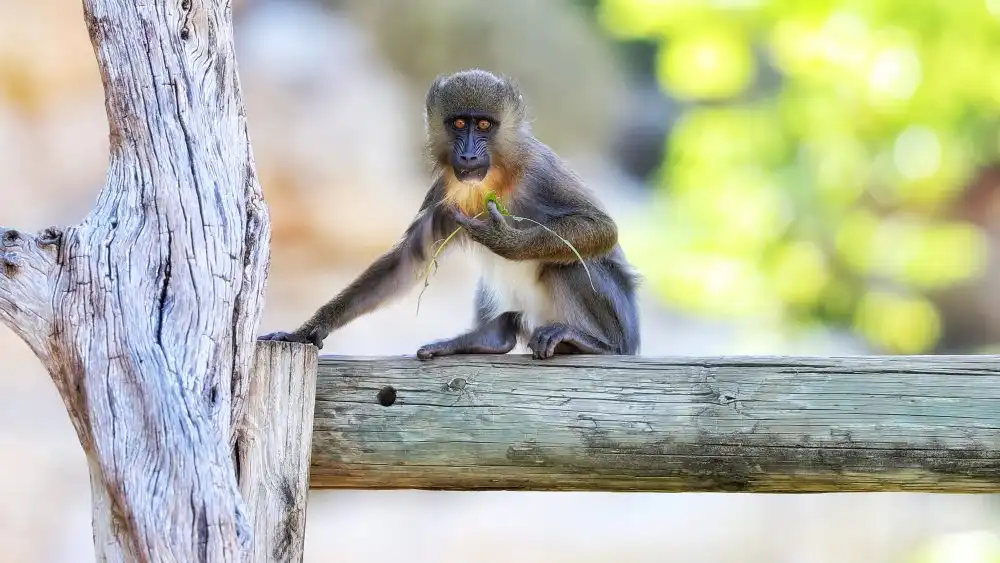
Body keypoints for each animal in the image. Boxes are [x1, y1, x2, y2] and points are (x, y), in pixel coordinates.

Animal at [259, 69, 640, 360]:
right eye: (458, 123)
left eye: (483, 125)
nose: (468, 155)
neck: (497, 176)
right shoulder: (444, 192)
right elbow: (405, 261)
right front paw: (305, 331)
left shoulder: (539, 171)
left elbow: (602, 228)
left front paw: (505, 240)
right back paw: (490, 337)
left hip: (619, 325)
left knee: (568, 262)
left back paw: (596, 344)